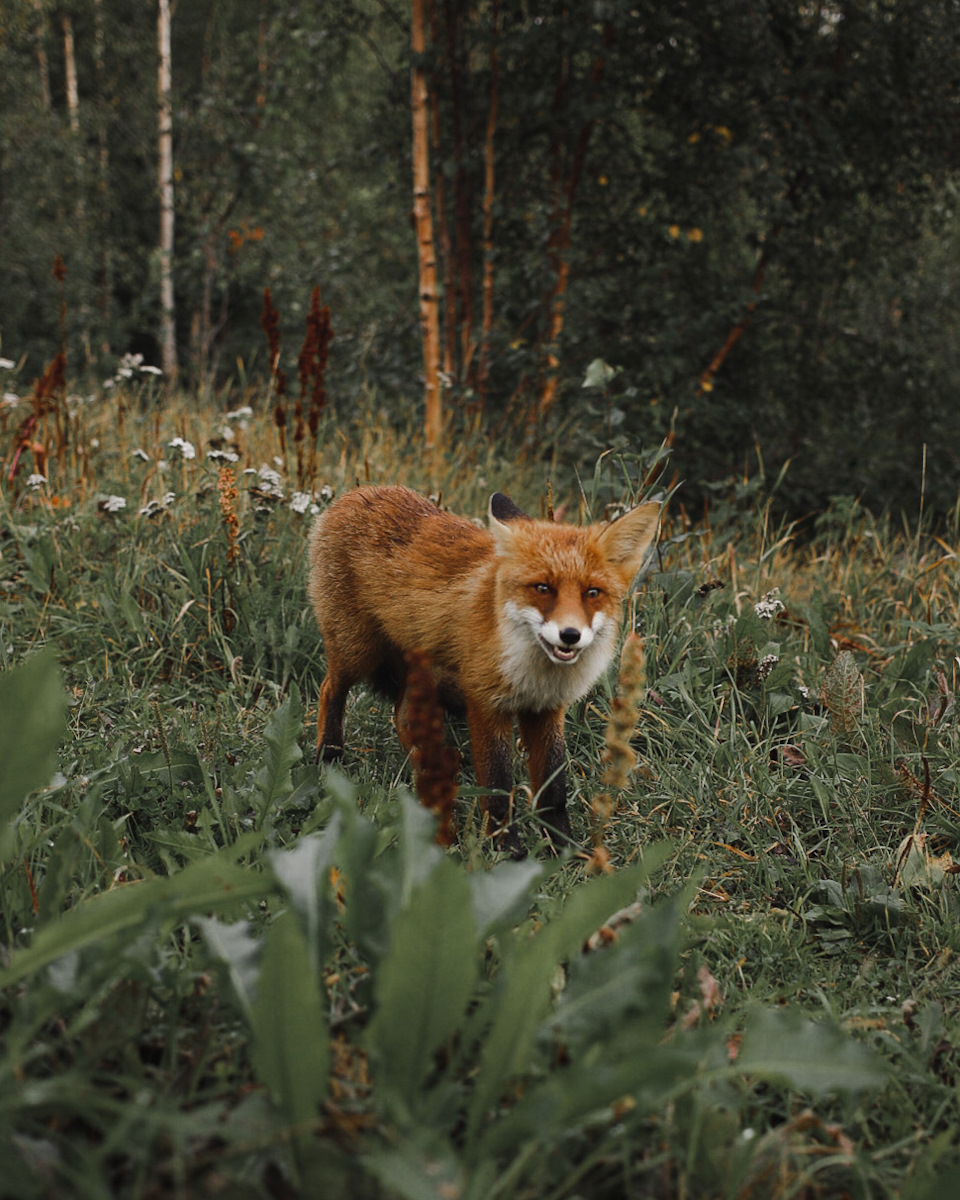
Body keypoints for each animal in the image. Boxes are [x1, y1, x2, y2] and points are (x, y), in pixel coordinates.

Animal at [307, 482, 662, 849]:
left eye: (592, 592)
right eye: (543, 588)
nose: (570, 635)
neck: (535, 675)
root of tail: (359, 491)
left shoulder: (547, 709)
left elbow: (553, 791)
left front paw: (564, 848)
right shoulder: (486, 703)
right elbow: (498, 787)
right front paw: (507, 850)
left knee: (402, 715)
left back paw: (431, 771)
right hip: (358, 650)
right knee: (330, 690)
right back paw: (330, 757)